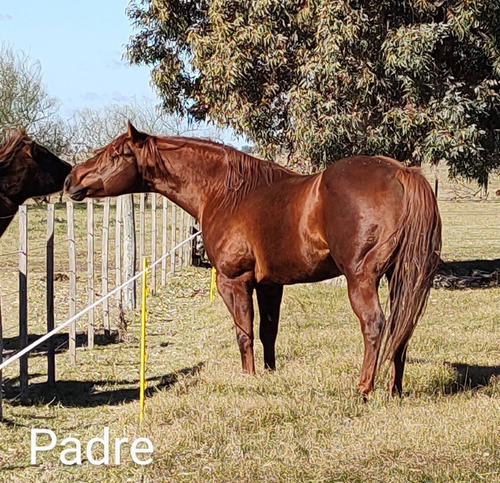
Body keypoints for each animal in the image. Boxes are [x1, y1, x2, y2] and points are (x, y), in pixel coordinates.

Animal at [63, 124, 442, 398]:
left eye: (116, 153)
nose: (70, 180)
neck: (226, 192)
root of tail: (401, 173)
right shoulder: (271, 285)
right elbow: (267, 331)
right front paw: (270, 374)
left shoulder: (234, 281)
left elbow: (243, 333)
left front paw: (248, 378)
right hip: (400, 278)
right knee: (402, 326)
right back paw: (395, 389)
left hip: (361, 279)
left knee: (375, 325)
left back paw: (364, 388)